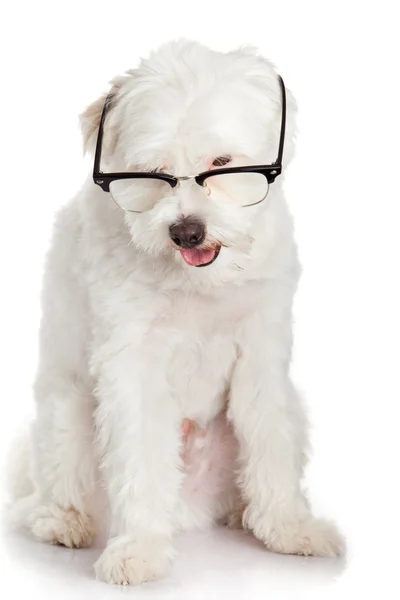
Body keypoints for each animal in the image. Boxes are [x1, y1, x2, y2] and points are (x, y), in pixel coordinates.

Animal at [6, 39, 344, 584]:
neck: (201, 284)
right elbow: (139, 461)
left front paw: (291, 529)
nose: (186, 231)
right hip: (65, 413)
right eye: (155, 174)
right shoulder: (133, 360)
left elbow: (271, 444)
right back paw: (64, 521)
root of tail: (191, 511)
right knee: (57, 485)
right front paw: (139, 550)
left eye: (222, 162)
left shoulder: (262, 351)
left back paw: (244, 513)